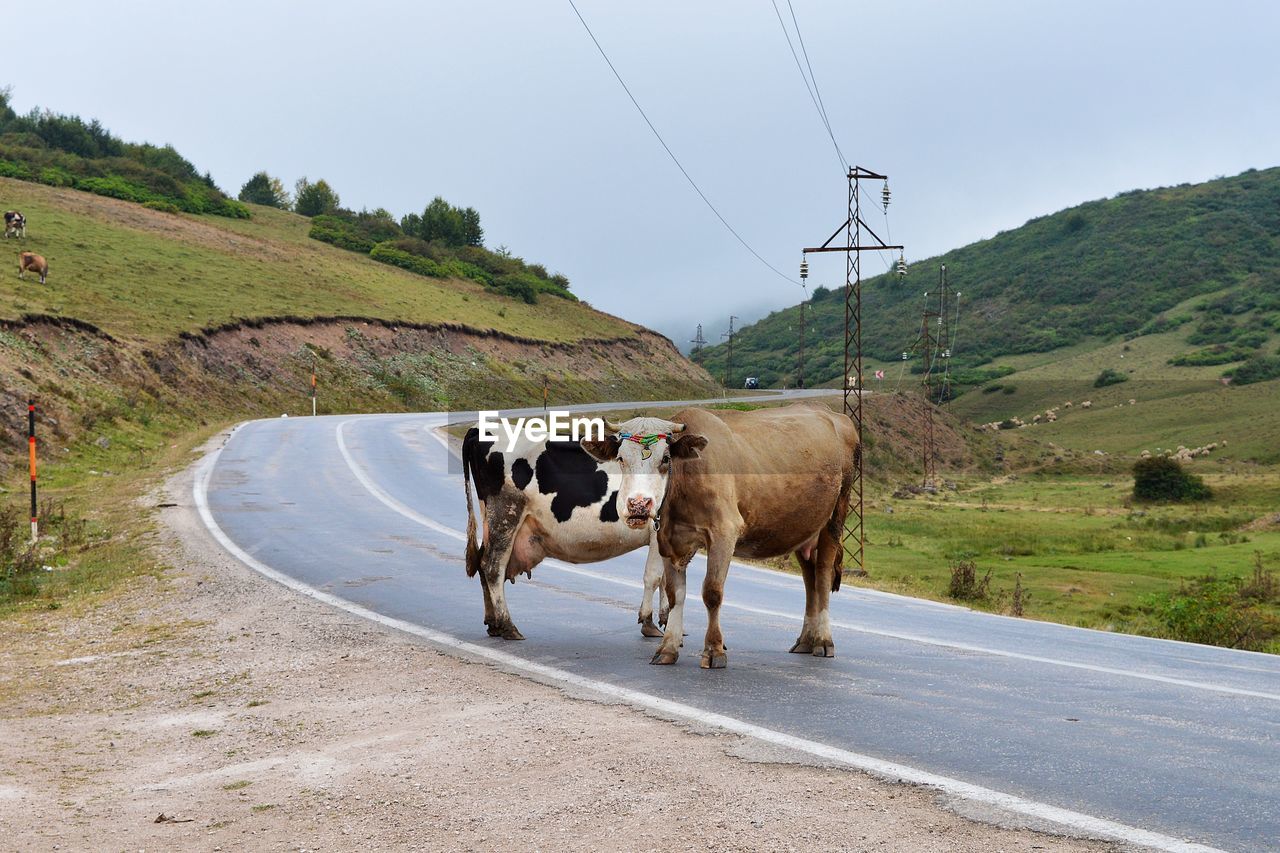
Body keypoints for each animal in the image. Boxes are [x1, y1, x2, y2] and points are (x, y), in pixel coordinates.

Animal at [463, 417, 670, 637]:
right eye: (622, 458)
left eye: (665, 458)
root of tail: (479, 428)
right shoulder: (657, 532)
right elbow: (656, 577)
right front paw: (649, 623)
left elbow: (666, 579)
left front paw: (665, 618)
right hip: (505, 514)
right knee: (492, 565)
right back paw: (506, 625)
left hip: (492, 521)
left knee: (482, 563)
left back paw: (493, 623)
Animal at [583, 402, 860, 666]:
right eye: (621, 458)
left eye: (665, 458)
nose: (639, 504)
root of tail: (834, 414)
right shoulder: (668, 540)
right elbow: (675, 594)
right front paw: (668, 648)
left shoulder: (724, 532)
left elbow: (712, 592)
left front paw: (714, 650)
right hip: (802, 527)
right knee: (809, 578)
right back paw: (805, 639)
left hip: (836, 516)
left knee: (822, 576)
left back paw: (823, 640)